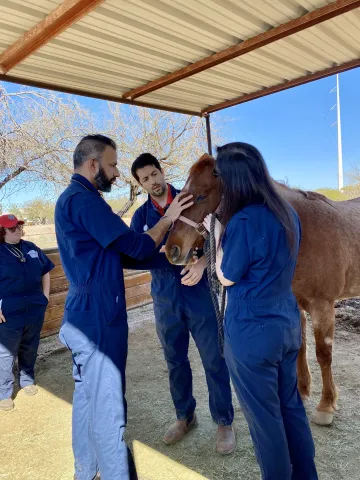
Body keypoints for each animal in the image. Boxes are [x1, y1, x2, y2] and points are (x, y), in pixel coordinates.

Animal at [166, 153, 360, 424]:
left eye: (201, 196)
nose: (171, 250)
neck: (303, 230)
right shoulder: (295, 304)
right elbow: (300, 346)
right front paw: (302, 391)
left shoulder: (323, 306)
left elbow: (323, 354)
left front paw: (326, 405)